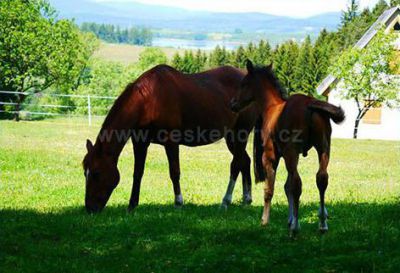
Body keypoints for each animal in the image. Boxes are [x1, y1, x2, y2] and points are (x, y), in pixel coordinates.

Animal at [83, 63, 260, 212]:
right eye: (85, 172)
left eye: (97, 173)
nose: (90, 208)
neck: (149, 99)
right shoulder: (140, 142)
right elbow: (138, 173)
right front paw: (132, 205)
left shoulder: (171, 141)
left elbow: (174, 172)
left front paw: (178, 202)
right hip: (231, 137)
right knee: (245, 161)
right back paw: (247, 198)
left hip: (241, 133)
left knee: (236, 164)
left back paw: (226, 201)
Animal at [230, 61, 346, 234]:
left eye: (243, 83)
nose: (232, 104)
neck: (272, 107)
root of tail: (309, 104)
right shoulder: (286, 155)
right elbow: (287, 187)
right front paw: (290, 219)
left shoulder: (271, 156)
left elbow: (270, 189)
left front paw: (265, 220)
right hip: (323, 148)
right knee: (321, 178)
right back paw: (322, 224)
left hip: (293, 152)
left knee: (298, 183)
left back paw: (295, 229)